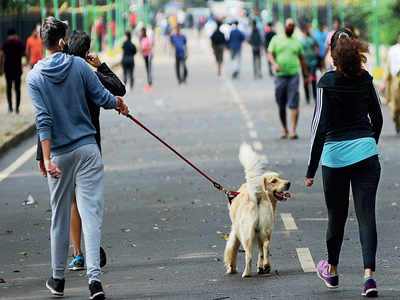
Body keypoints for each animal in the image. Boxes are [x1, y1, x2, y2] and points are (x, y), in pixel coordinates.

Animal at [222, 144, 290, 278]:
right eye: (274, 180)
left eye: (279, 178)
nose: (288, 183)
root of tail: (257, 194)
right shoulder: (259, 232)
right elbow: (261, 251)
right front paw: (261, 267)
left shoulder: (236, 231)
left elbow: (232, 249)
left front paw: (231, 268)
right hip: (265, 230)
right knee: (266, 245)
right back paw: (267, 266)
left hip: (246, 234)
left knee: (248, 255)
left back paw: (246, 273)